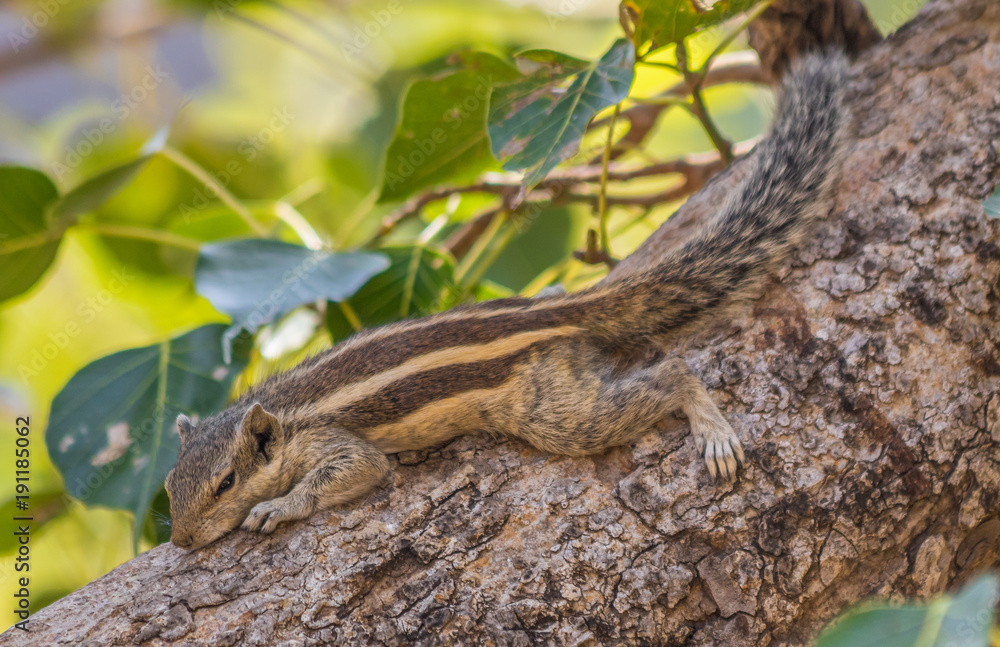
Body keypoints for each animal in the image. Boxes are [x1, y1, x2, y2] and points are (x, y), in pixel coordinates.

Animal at [166, 52, 852, 552]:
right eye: (171, 484)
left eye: (226, 483)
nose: (180, 541)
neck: (284, 413)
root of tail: (554, 315)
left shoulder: (334, 443)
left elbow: (357, 471)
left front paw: (278, 506)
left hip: (554, 409)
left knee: (673, 373)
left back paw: (708, 426)